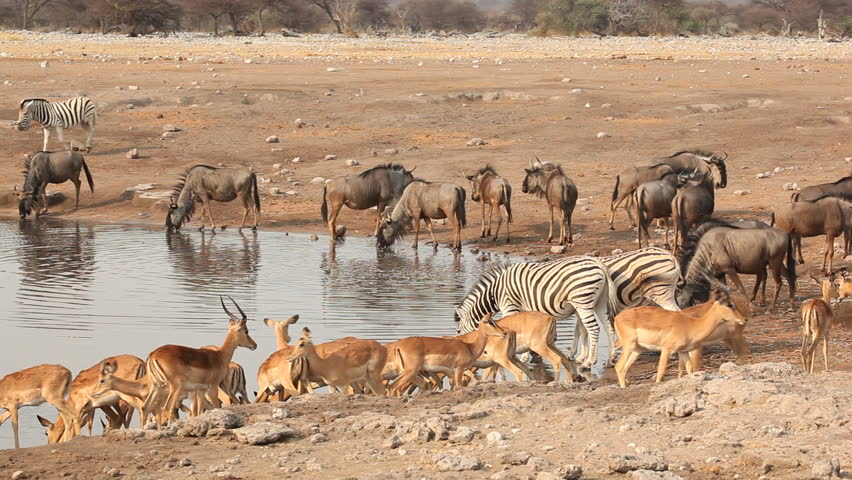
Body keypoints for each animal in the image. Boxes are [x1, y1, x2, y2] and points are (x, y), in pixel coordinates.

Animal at [144, 296, 256, 424]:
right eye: (246, 331)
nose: (254, 345)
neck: (220, 356)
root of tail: (153, 355)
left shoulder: (201, 390)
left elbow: (198, 412)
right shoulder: (213, 387)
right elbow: (216, 407)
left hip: (156, 385)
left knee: (145, 407)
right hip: (175, 387)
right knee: (167, 408)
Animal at [456, 255, 616, 372]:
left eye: (458, 331)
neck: (494, 293)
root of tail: (599, 263)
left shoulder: (509, 305)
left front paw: (520, 357)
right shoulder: (521, 310)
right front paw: (527, 355)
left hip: (583, 300)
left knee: (594, 329)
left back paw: (589, 362)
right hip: (599, 301)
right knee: (608, 327)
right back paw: (610, 360)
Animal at [612, 284, 744, 388]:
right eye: (729, 304)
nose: (744, 319)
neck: (692, 325)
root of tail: (617, 318)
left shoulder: (683, 351)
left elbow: (690, 369)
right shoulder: (667, 349)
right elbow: (661, 372)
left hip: (638, 350)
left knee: (623, 369)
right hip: (629, 346)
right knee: (619, 366)